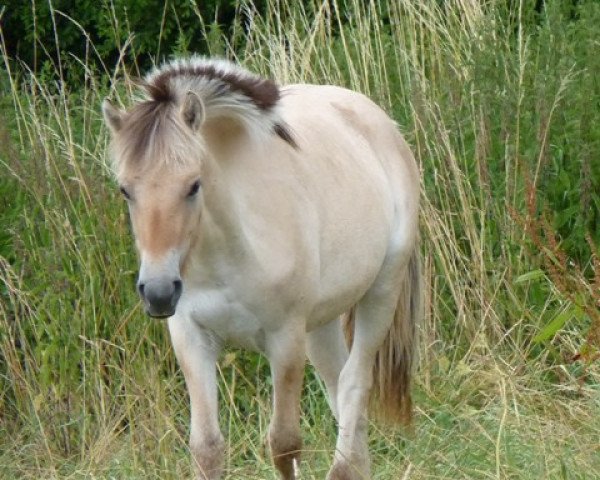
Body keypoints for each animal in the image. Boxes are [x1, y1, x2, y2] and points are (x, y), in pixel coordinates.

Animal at [102, 57, 422, 480]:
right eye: (125, 190)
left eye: (193, 185)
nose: (158, 291)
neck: (229, 251)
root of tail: (382, 124)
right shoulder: (190, 337)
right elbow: (206, 447)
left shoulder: (285, 339)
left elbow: (284, 445)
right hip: (321, 324)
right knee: (338, 388)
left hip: (381, 293)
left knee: (354, 383)